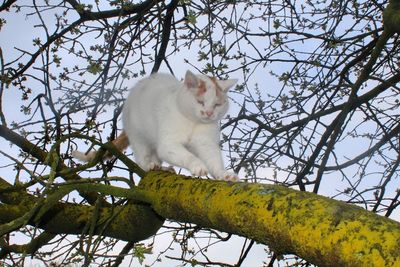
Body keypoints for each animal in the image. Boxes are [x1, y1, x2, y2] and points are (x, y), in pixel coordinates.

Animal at [72, 70, 238, 181]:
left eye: (217, 105)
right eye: (200, 102)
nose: (209, 113)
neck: (193, 122)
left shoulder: (207, 144)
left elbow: (215, 161)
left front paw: (223, 174)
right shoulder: (168, 144)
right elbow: (189, 156)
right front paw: (198, 166)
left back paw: (162, 167)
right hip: (138, 137)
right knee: (142, 159)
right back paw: (151, 166)